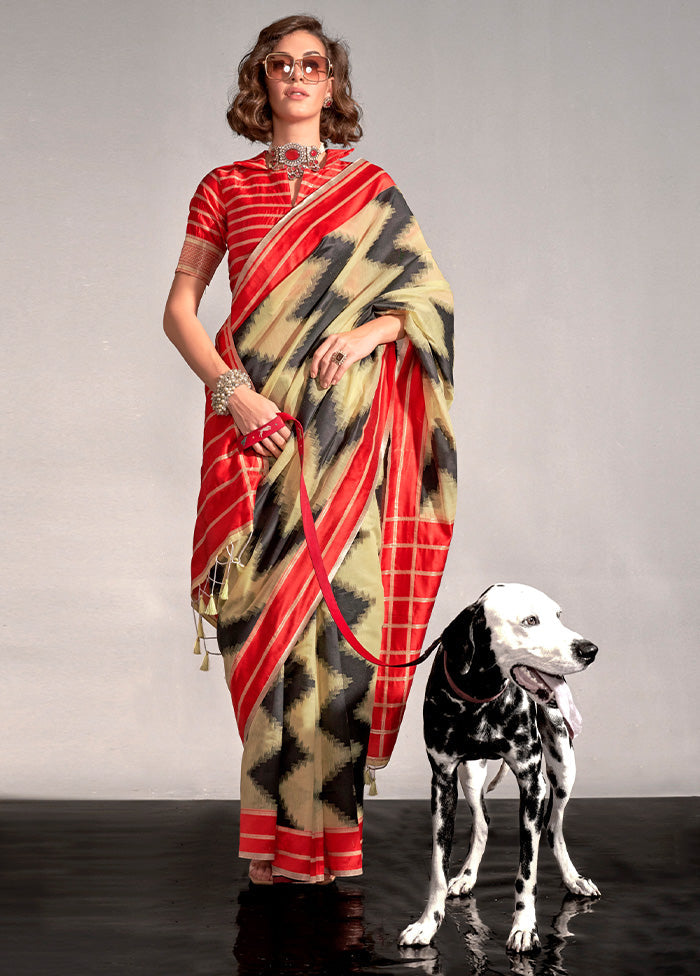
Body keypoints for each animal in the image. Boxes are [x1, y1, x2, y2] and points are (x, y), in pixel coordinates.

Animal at [400, 588, 600, 952]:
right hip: (471, 776)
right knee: (482, 823)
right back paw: (466, 876)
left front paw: (524, 927)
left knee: (554, 827)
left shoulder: (533, 785)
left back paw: (573, 878)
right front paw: (427, 924)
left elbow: (527, 873)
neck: (481, 698)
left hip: (563, 770)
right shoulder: (442, 783)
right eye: (530, 620)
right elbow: (438, 867)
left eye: (558, 616)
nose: (589, 650)